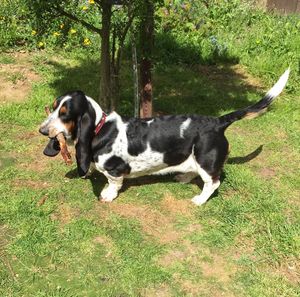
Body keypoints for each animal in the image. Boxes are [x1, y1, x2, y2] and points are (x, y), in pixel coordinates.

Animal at [38, 69, 290, 204]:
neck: (101, 127)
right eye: (53, 107)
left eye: (64, 113)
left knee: (213, 182)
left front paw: (107, 195)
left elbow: (113, 183)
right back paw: (183, 177)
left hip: (205, 160)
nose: (41, 130)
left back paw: (199, 200)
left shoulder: (116, 171)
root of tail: (218, 122)